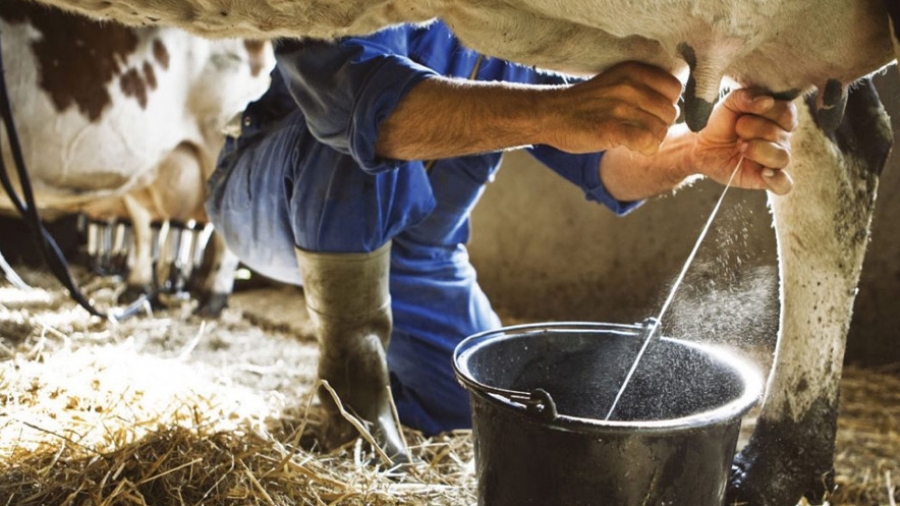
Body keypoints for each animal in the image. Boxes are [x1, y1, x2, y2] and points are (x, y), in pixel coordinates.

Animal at [0, 0, 272, 316]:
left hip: (220, 138)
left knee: (222, 229)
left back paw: (211, 299)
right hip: (150, 169)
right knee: (145, 226)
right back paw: (138, 290)